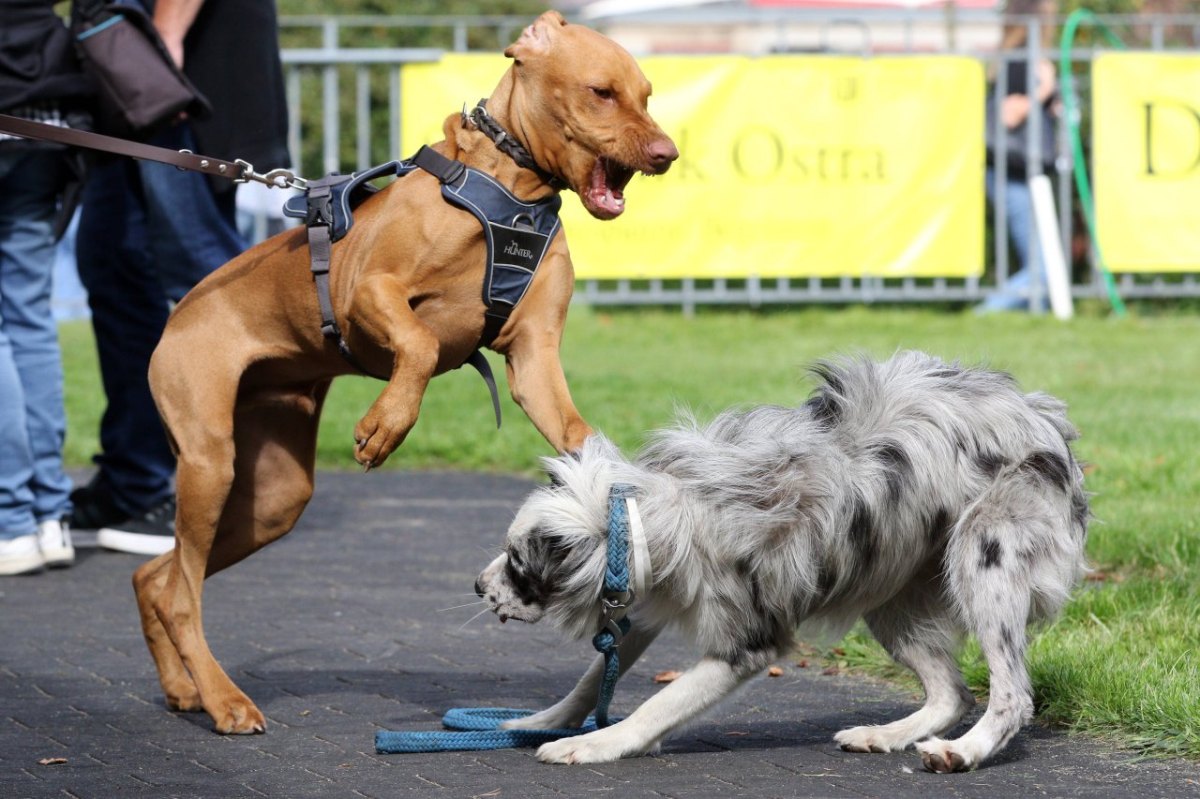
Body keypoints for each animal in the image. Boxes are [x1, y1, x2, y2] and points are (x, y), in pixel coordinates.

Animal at [133, 10, 676, 734]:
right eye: (601, 92)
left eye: (645, 94)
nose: (667, 154)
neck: (509, 190)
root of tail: (178, 314)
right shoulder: (368, 291)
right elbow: (417, 343)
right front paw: (385, 425)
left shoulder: (534, 361)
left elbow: (580, 437)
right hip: (209, 461)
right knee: (182, 592)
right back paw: (224, 700)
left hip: (273, 497)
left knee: (158, 578)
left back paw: (183, 687)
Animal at [475, 352, 1089, 767]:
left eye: (517, 562)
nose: (479, 587)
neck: (652, 514)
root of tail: (1044, 418)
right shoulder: (645, 606)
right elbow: (591, 679)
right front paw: (544, 723)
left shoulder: (748, 644)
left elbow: (660, 703)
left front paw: (596, 743)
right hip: (889, 591)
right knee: (952, 693)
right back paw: (885, 735)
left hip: (983, 562)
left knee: (1012, 695)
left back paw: (964, 752)